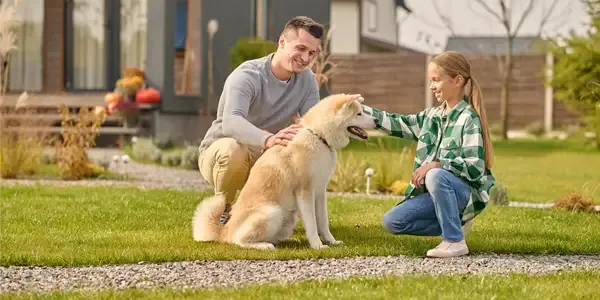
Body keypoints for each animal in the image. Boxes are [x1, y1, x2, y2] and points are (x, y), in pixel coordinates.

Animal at [191, 92, 376, 250]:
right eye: (359, 114)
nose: (375, 120)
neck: (318, 136)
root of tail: (224, 231)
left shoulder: (320, 192)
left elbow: (323, 222)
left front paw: (331, 241)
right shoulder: (305, 191)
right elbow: (312, 223)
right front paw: (317, 245)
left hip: (288, 217)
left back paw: (287, 240)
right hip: (273, 212)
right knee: (238, 240)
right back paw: (264, 245)